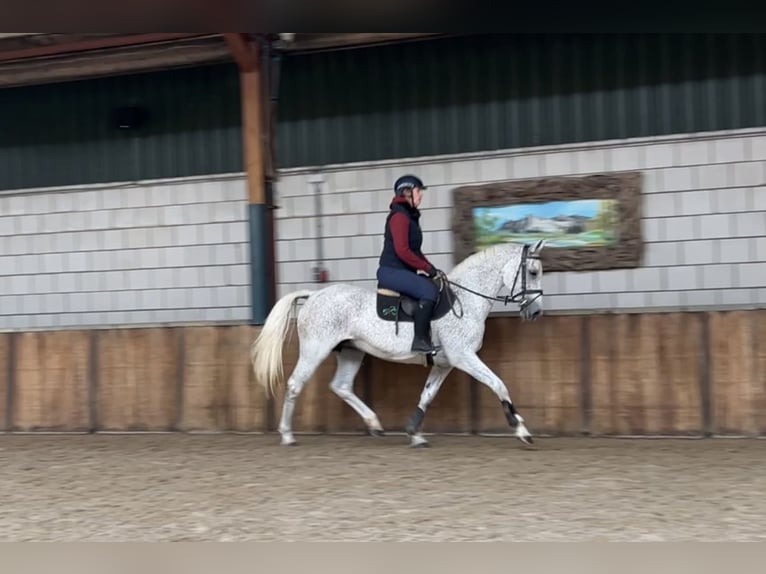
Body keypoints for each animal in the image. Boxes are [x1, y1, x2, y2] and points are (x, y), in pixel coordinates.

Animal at [250, 241, 544, 448]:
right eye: (532, 272)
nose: (536, 312)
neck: (465, 300)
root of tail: (314, 295)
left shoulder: (445, 363)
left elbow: (427, 395)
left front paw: (414, 434)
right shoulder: (464, 357)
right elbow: (498, 384)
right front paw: (521, 429)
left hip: (351, 351)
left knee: (341, 386)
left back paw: (374, 424)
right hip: (315, 349)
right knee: (294, 385)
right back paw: (287, 435)